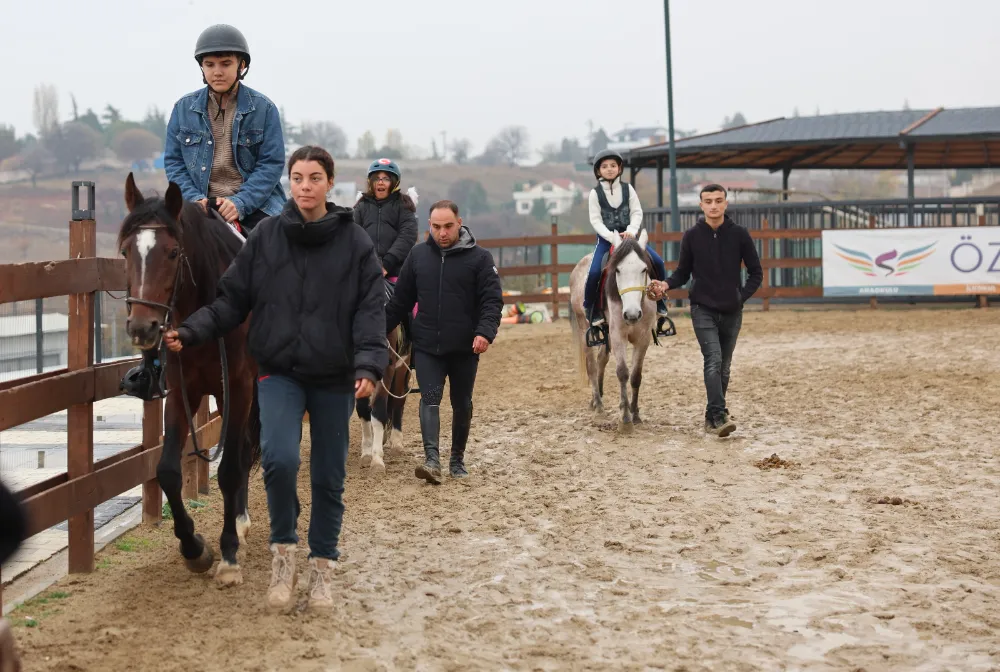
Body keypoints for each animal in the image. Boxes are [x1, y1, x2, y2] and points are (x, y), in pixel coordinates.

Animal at [118, 175, 260, 588]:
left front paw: (228, 555)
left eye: (172, 252)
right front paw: (194, 548)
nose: (143, 328)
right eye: (125, 252)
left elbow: (229, 468)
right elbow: (167, 471)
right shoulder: (183, 392)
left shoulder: (239, 388)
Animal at [572, 230, 656, 430]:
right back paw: (598, 405)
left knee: (601, 359)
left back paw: (597, 399)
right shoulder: (618, 335)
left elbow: (636, 376)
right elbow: (623, 372)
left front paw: (635, 414)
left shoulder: (643, 339)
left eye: (644, 269)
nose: (632, 314)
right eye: (617, 270)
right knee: (591, 365)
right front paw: (625, 418)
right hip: (584, 329)